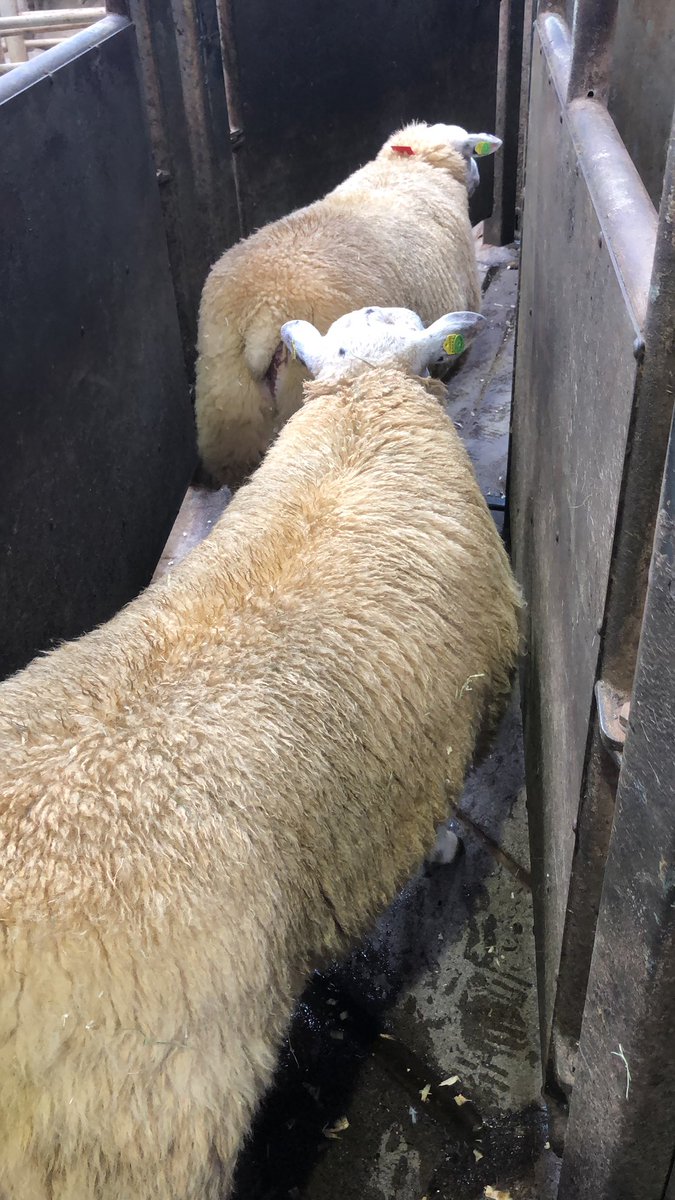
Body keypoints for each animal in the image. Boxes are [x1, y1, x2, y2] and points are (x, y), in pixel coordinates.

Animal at [0, 304, 521, 1200]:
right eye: (426, 361)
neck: (361, 399)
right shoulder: (459, 710)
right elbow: (441, 805)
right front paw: (446, 845)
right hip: (140, 1140)